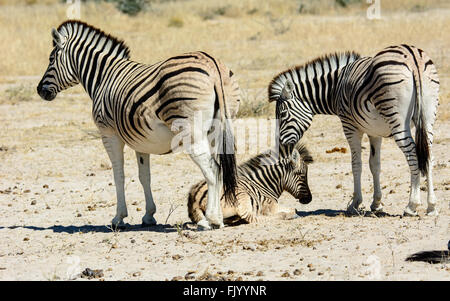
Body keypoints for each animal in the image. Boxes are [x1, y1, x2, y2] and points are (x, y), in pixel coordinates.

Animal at [36, 19, 241, 229]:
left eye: (51, 59)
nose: (39, 90)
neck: (103, 77)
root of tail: (212, 66)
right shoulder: (141, 141)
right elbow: (145, 176)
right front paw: (149, 215)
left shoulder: (109, 134)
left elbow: (118, 175)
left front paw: (118, 218)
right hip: (219, 129)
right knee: (220, 168)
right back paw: (216, 218)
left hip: (190, 131)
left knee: (212, 169)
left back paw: (211, 219)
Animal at [268, 45, 440, 216]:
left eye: (282, 114)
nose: (280, 147)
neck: (335, 87)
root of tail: (412, 57)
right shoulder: (374, 132)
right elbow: (375, 165)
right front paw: (376, 204)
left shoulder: (350, 126)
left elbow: (356, 164)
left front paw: (355, 203)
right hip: (428, 118)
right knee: (429, 156)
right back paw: (431, 206)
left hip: (397, 120)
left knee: (413, 155)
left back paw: (412, 205)